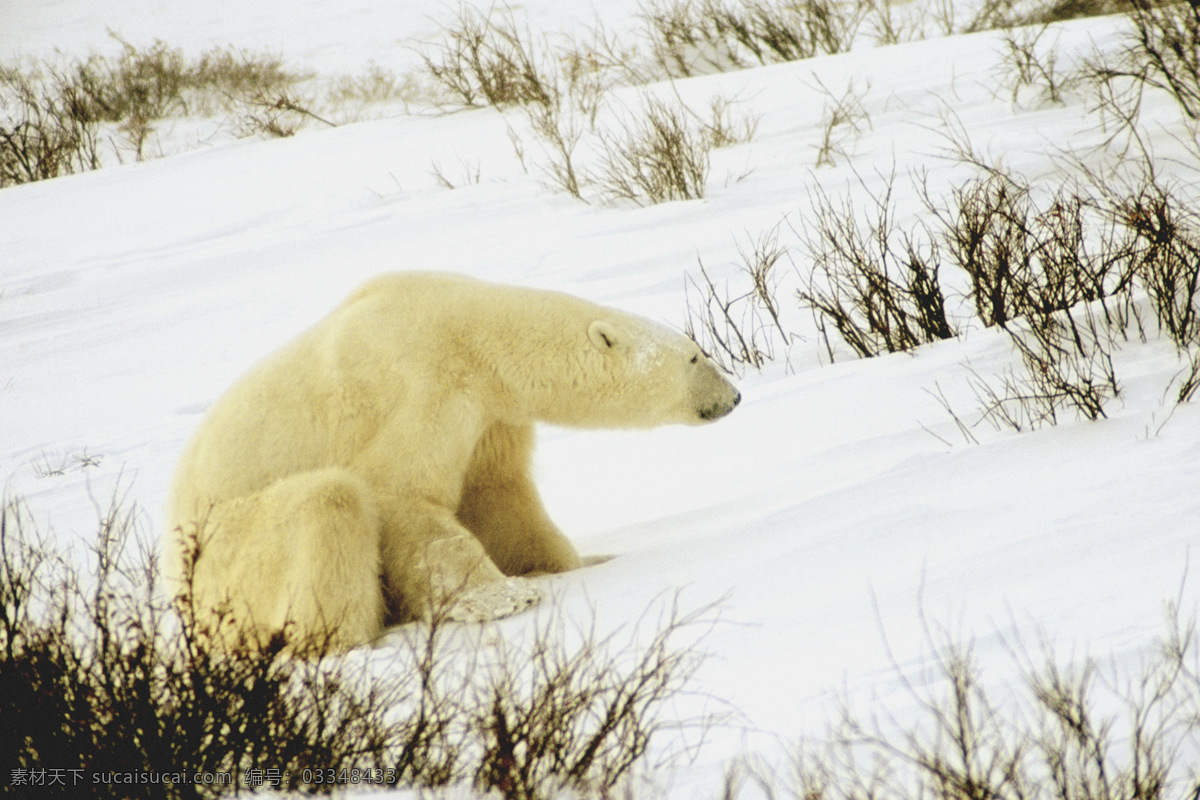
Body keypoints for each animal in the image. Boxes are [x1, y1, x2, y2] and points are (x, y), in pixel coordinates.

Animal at [164, 271, 734, 652]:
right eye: (696, 355)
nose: (733, 397)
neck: (469, 332)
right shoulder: (418, 388)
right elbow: (401, 494)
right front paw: (505, 599)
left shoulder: (489, 414)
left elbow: (497, 495)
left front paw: (567, 565)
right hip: (228, 555)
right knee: (328, 500)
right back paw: (352, 639)